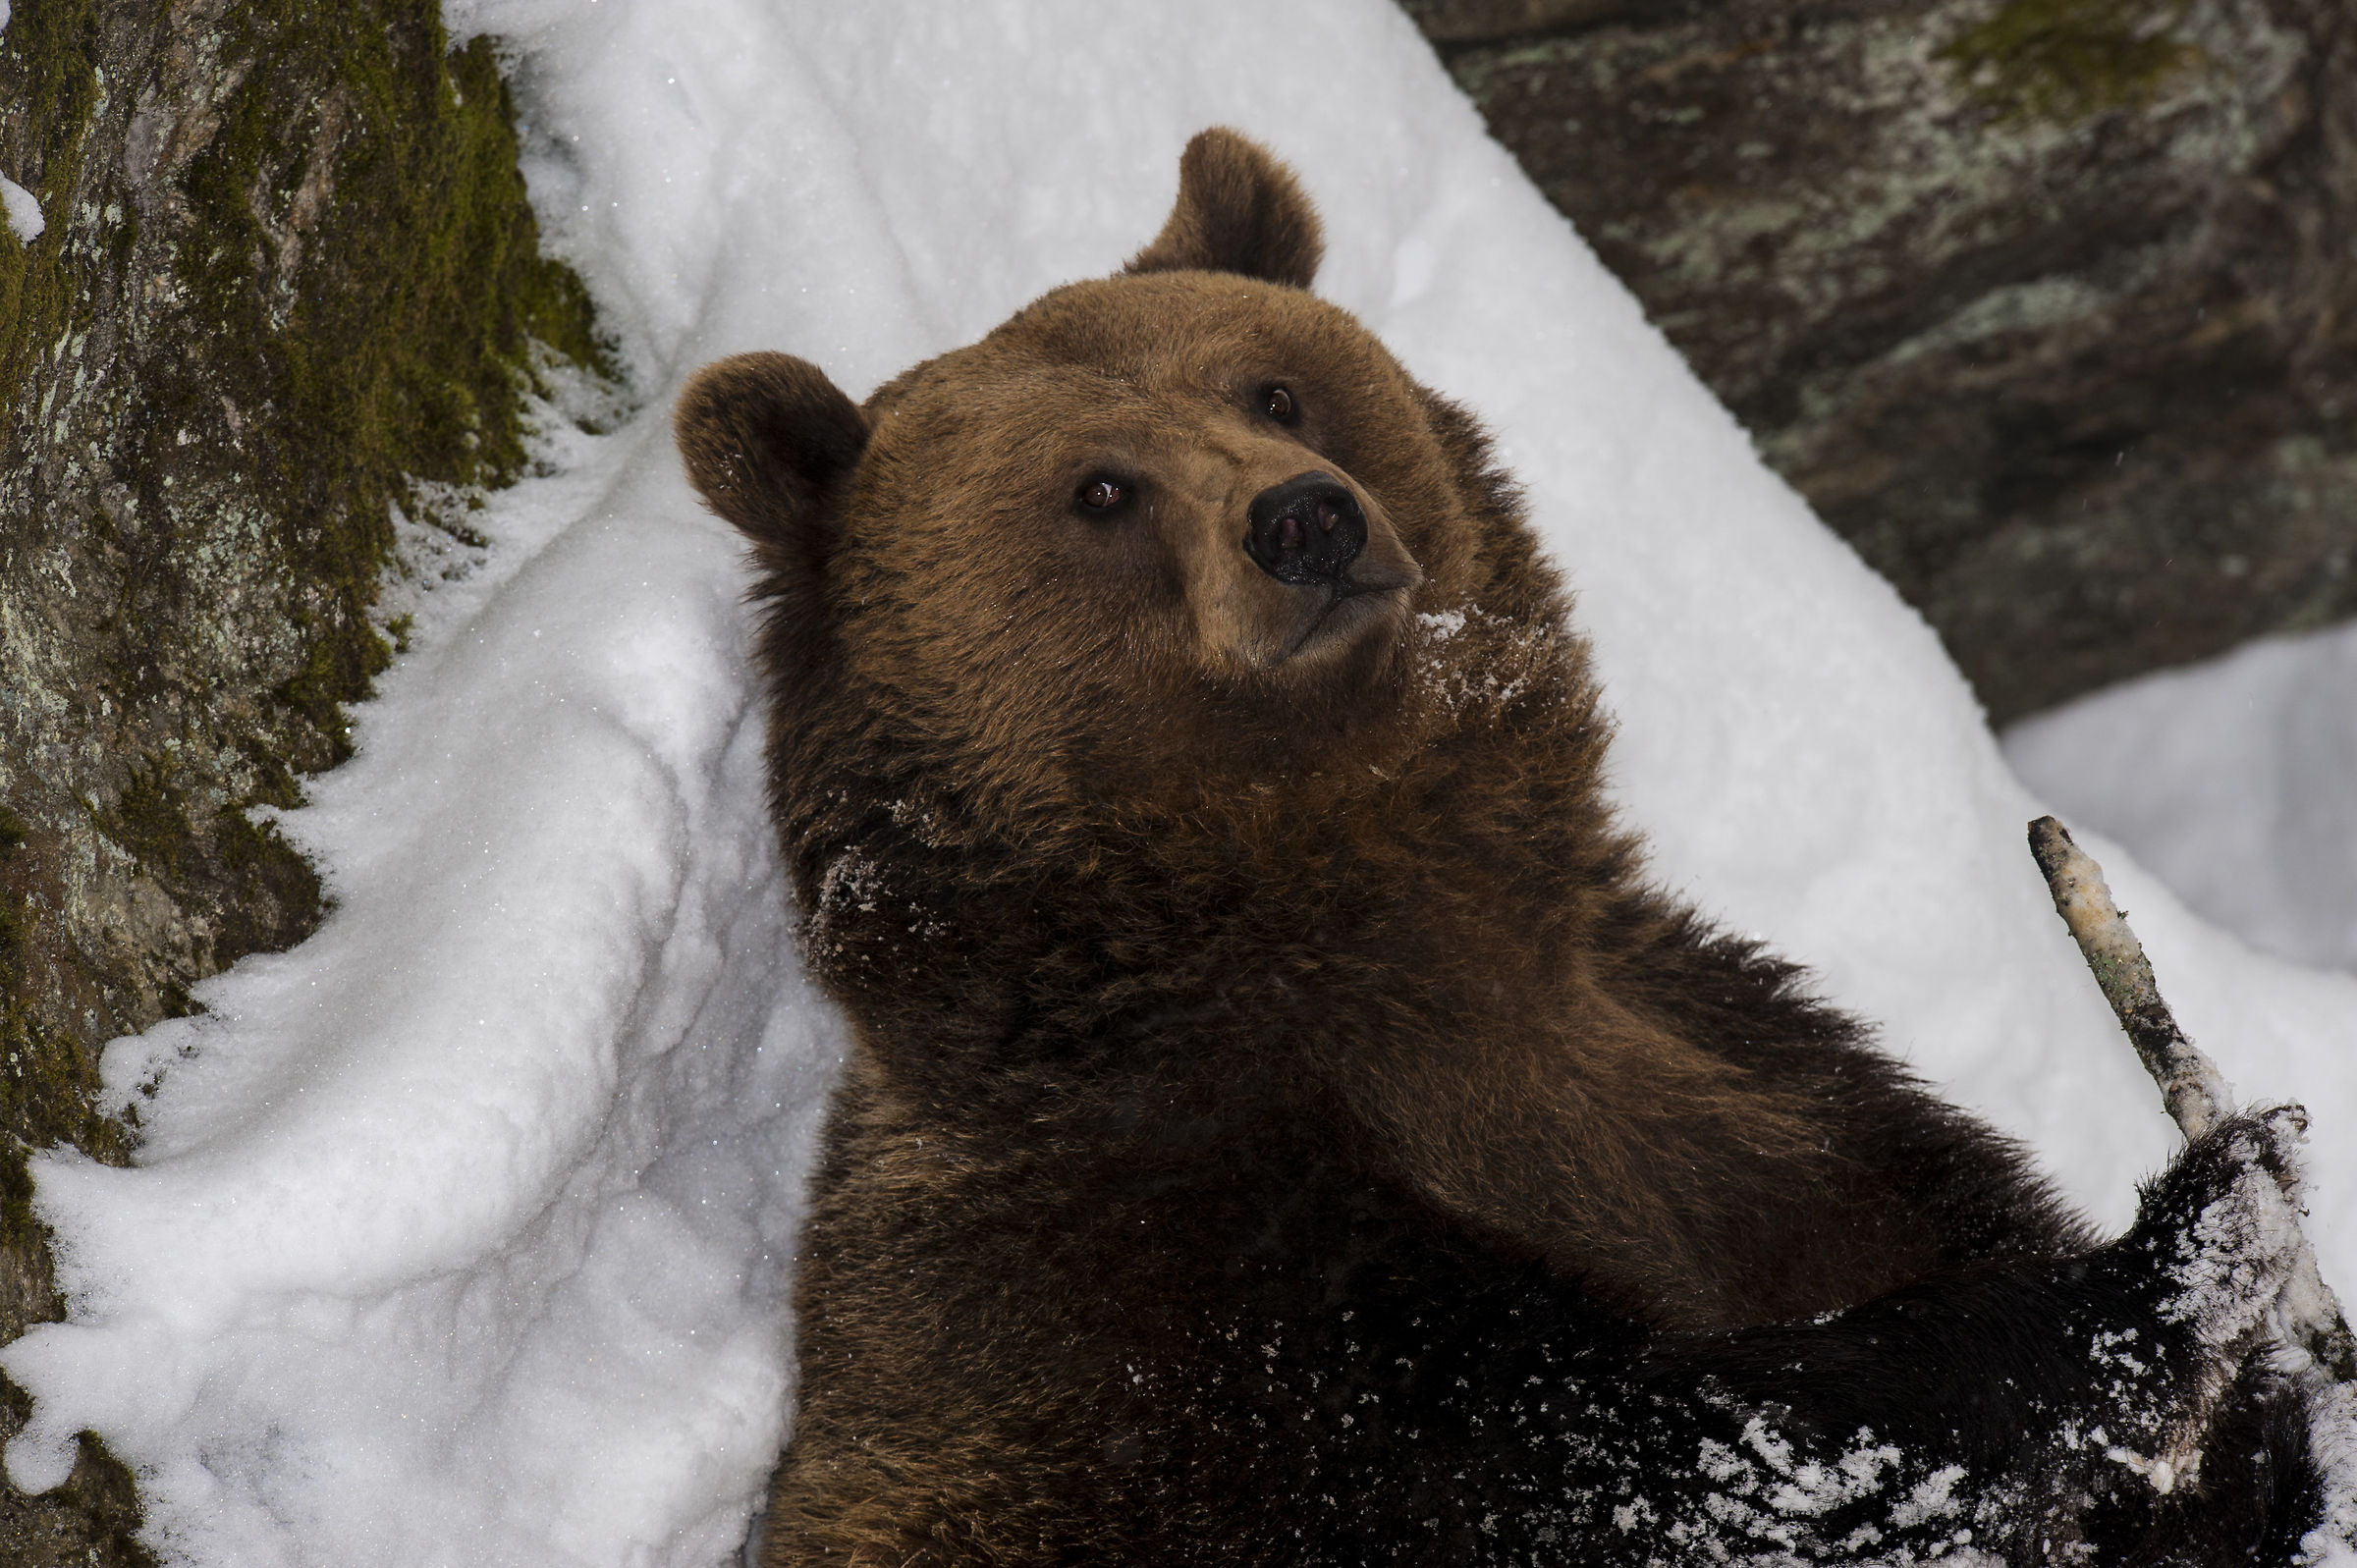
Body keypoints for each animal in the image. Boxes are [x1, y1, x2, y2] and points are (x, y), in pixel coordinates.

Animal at [674, 129, 2336, 1565]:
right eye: (1098, 486)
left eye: (1274, 387)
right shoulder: (1185, 1295)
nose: (1306, 522)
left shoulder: (1754, 1077)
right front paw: (2190, 1233)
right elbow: (1712, 1459)